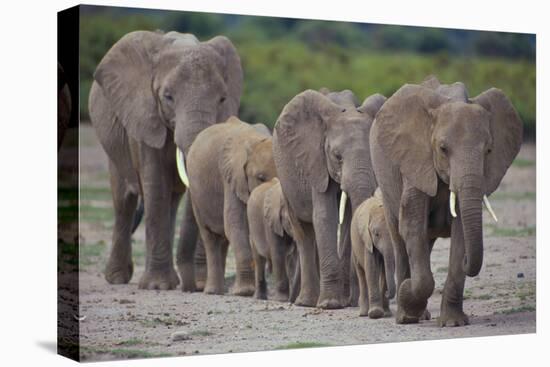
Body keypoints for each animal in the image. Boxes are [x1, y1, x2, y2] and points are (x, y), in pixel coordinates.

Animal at [89, 30, 243, 290]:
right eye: (167, 97)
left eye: (222, 99)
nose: (195, 286)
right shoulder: (143, 116)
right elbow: (156, 184)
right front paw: (157, 286)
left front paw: (194, 284)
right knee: (124, 202)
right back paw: (118, 278)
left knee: (170, 201)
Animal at [187, 117, 280, 296]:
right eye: (260, 178)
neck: (254, 140)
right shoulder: (231, 177)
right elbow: (235, 225)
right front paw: (244, 292)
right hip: (196, 195)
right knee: (210, 237)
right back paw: (213, 291)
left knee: (222, 239)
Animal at [272, 90, 386, 310]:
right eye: (337, 156)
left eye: (372, 153)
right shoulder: (316, 162)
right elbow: (325, 217)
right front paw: (329, 304)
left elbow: (349, 219)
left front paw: (349, 303)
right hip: (285, 178)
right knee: (303, 233)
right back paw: (307, 302)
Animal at [374, 76, 524, 326]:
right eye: (443, 149)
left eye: (489, 150)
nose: (467, 262)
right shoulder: (415, 161)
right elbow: (412, 226)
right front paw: (408, 296)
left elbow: (461, 230)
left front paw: (454, 323)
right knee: (400, 239)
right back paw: (406, 315)